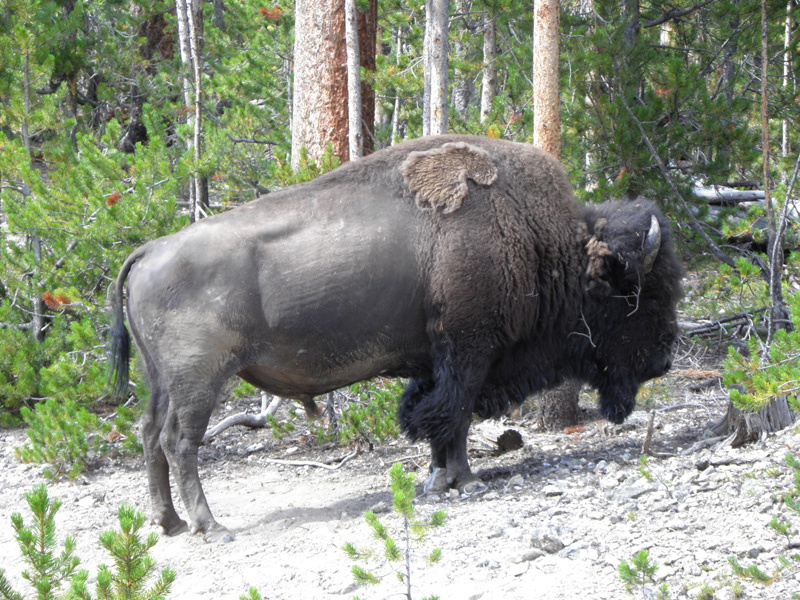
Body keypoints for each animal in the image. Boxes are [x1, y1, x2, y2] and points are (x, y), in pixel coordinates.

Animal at [106, 134, 680, 540]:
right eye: (642, 295)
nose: (663, 361)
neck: (545, 243)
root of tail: (148, 250)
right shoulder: (469, 355)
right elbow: (455, 416)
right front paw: (465, 480)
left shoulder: (437, 364)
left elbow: (435, 419)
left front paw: (437, 477)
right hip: (199, 381)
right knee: (179, 442)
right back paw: (211, 527)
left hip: (162, 381)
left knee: (149, 434)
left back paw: (169, 523)